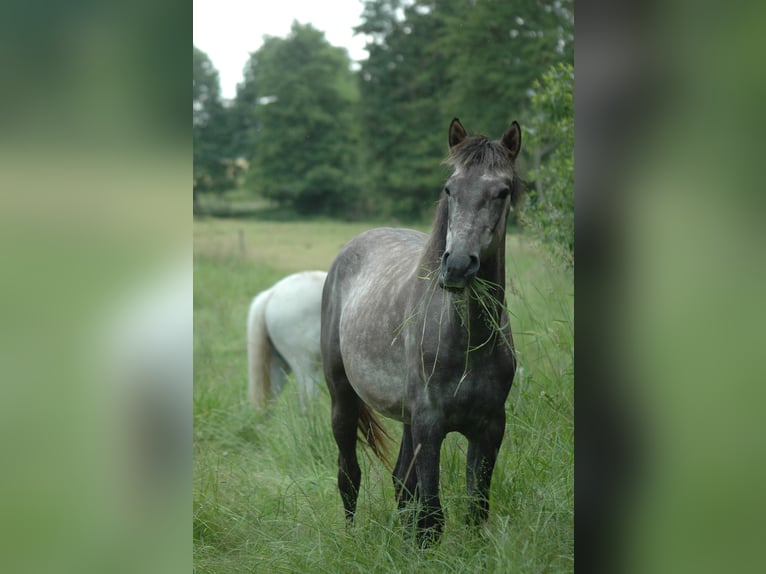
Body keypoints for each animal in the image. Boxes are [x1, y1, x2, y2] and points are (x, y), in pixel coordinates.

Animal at [321, 117, 523, 545]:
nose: (458, 266)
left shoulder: (489, 429)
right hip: (343, 398)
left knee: (400, 481)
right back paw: (350, 537)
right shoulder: (431, 426)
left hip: (406, 416)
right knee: (349, 474)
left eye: (502, 191)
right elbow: (431, 515)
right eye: (450, 188)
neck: (466, 343)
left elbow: (474, 510)